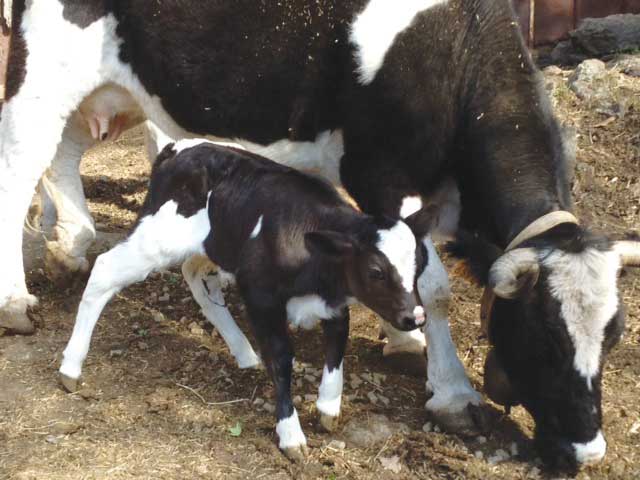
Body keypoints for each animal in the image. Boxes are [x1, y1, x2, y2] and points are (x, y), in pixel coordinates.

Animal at [60, 140, 432, 462]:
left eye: (421, 263)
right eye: (375, 271)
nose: (415, 318)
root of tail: (179, 148)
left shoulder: (332, 301)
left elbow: (338, 342)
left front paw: (328, 406)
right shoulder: (261, 295)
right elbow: (282, 358)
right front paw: (290, 434)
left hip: (216, 245)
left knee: (196, 278)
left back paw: (243, 352)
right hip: (156, 238)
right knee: (104, 270)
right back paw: (70, 366)